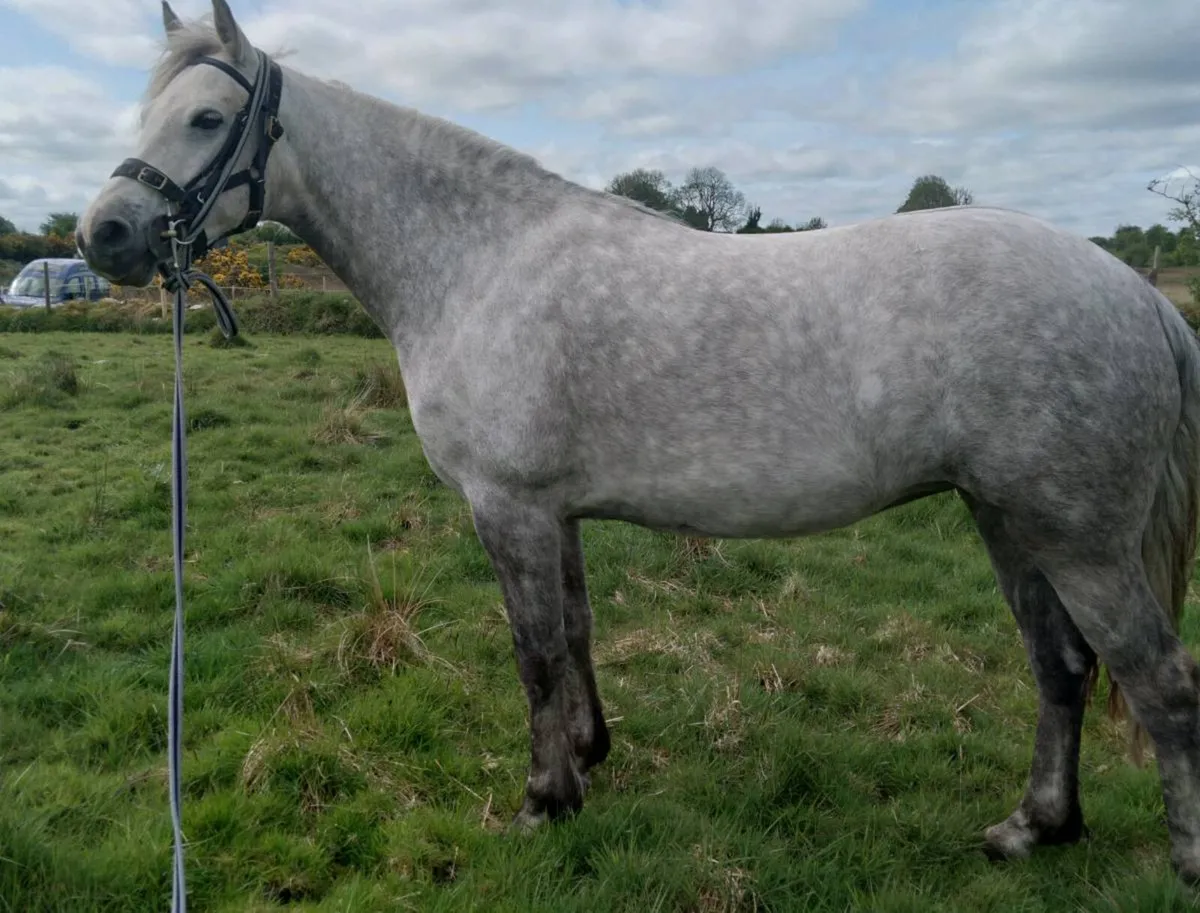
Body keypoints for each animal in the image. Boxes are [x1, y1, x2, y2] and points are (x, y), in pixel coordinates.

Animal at [77, 0, 1200, 883]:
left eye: (208, 118)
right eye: (148, 115)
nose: (106, 236)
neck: (476, 261)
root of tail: (1138, 294)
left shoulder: (509, 505)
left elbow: (533, 651)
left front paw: (543, 799)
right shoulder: (555, 510)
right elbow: (575, 632)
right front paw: (589, 754)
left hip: (1079, 540)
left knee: (1160, 684)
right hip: (1008, 520)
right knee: (1063, 667)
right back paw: (1034, 827)